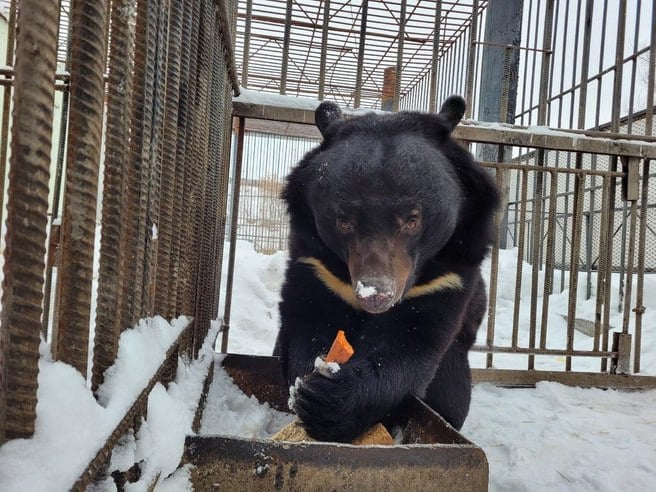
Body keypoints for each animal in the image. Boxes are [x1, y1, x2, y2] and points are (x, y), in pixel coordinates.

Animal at [272, 95, 498, 442]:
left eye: (412, 219)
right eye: (343, 221)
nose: (376, 296)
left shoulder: (448, 279)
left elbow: (411, 346)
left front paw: (329, 401)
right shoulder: (317, 267)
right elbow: (306, 321)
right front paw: (308, 385)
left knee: (452, 393)